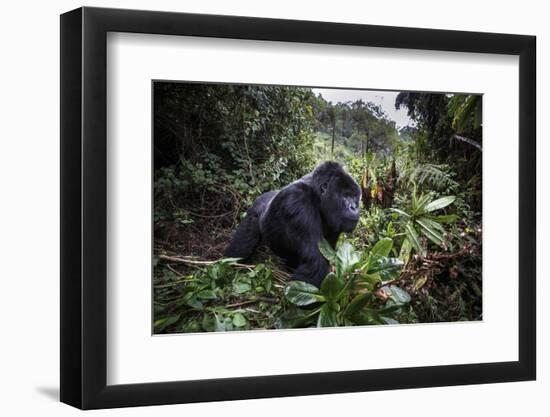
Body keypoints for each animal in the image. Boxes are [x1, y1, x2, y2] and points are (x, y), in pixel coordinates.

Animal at [224, 161, 362, 288]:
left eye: (354, 197)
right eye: (345, 195)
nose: (354, 207)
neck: (317, 196)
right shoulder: (297, 202)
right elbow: (315, 262)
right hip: (254, 211)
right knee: (242, 246)